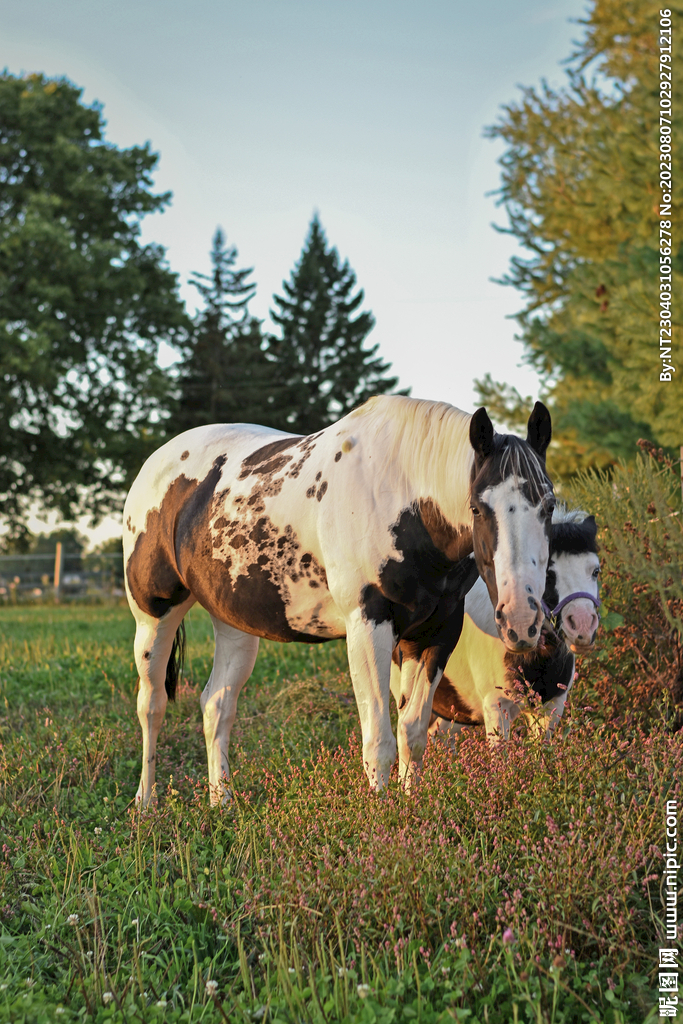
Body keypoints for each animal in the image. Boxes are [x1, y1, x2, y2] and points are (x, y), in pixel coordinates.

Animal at [122, 395, 554, 805]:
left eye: (548, 506)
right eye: (477, 507)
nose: (521, 620)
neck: (404, 498)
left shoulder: (436, 630)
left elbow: (412, 733)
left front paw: (412, 807)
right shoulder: (368, 624)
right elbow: (378, 740)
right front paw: (382, 815)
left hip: (233, 624)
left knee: (217, 706)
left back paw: (222, 800)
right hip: (153, 617)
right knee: (152, 706)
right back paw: (146, 803)